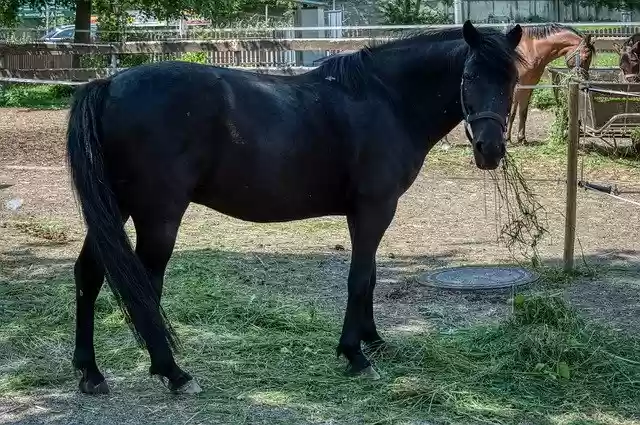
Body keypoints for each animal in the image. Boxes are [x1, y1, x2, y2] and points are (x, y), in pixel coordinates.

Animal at [66, 21, 524, 395]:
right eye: (469, 76)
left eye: (513, 78)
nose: (490, 150)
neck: (387, 99)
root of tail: (108, 85)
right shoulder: (374, 209)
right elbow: (360, 279)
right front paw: (355, 355)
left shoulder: (371, 212)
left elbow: (371, 277)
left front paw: (374, 340)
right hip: (158, 216)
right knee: (145, 286)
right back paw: (173, 373)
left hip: (115, 208)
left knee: (89, 273)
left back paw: (90, 373)